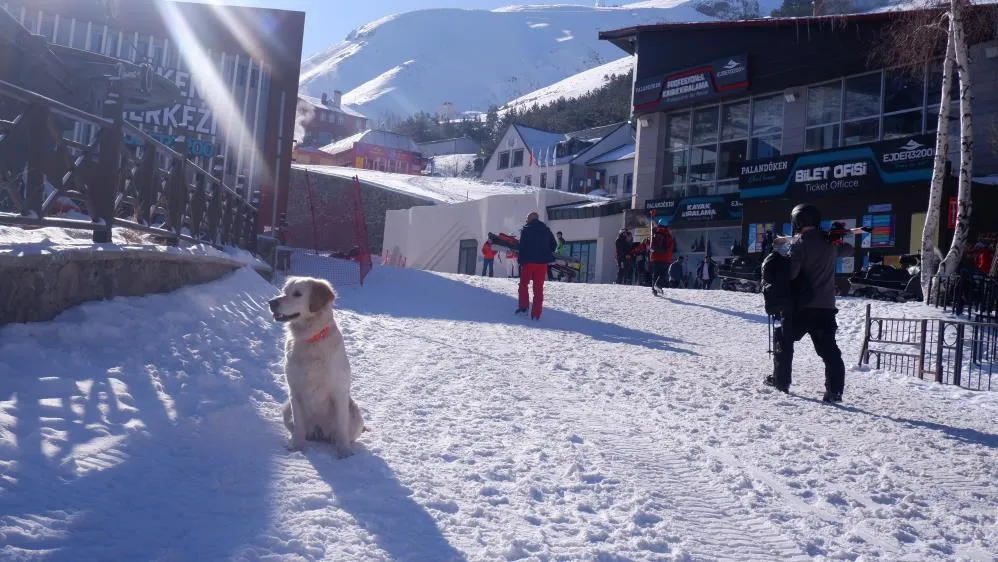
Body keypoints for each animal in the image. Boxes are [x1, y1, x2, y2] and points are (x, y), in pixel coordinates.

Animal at [270, 276, 368, 456]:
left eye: (297, 294)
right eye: (284, 291)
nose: (271, 302)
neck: (310, 339)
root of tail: (319, 431)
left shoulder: (339, 391)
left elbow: (341, 427)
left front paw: (344, 451)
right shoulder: (294, 390)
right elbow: (299, 424)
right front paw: (297, 446)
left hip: (356, 413)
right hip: (286, 409)